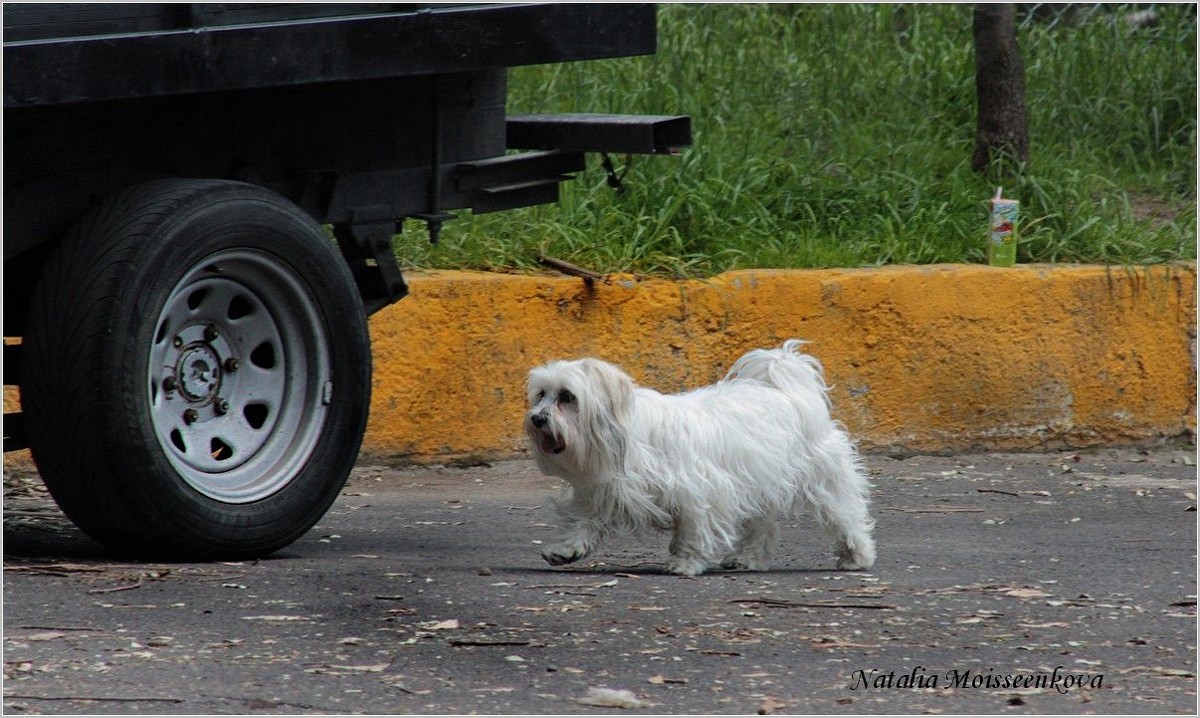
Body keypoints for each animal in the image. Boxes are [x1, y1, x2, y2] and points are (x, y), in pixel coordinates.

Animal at [523, 338, 873, 578]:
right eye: (541, 395)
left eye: (567, 397)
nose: (537, 419)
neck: (629, 433)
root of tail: (788, 392)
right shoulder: (603, 491)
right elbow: (585, 524)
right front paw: (566, 550)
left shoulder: (699, 491)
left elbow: (694, 530)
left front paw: (686, 562)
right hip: (759, 484)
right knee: (762, 527)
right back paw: (749, 558)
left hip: (822, 479)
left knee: (846, 515)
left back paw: (857, 555)